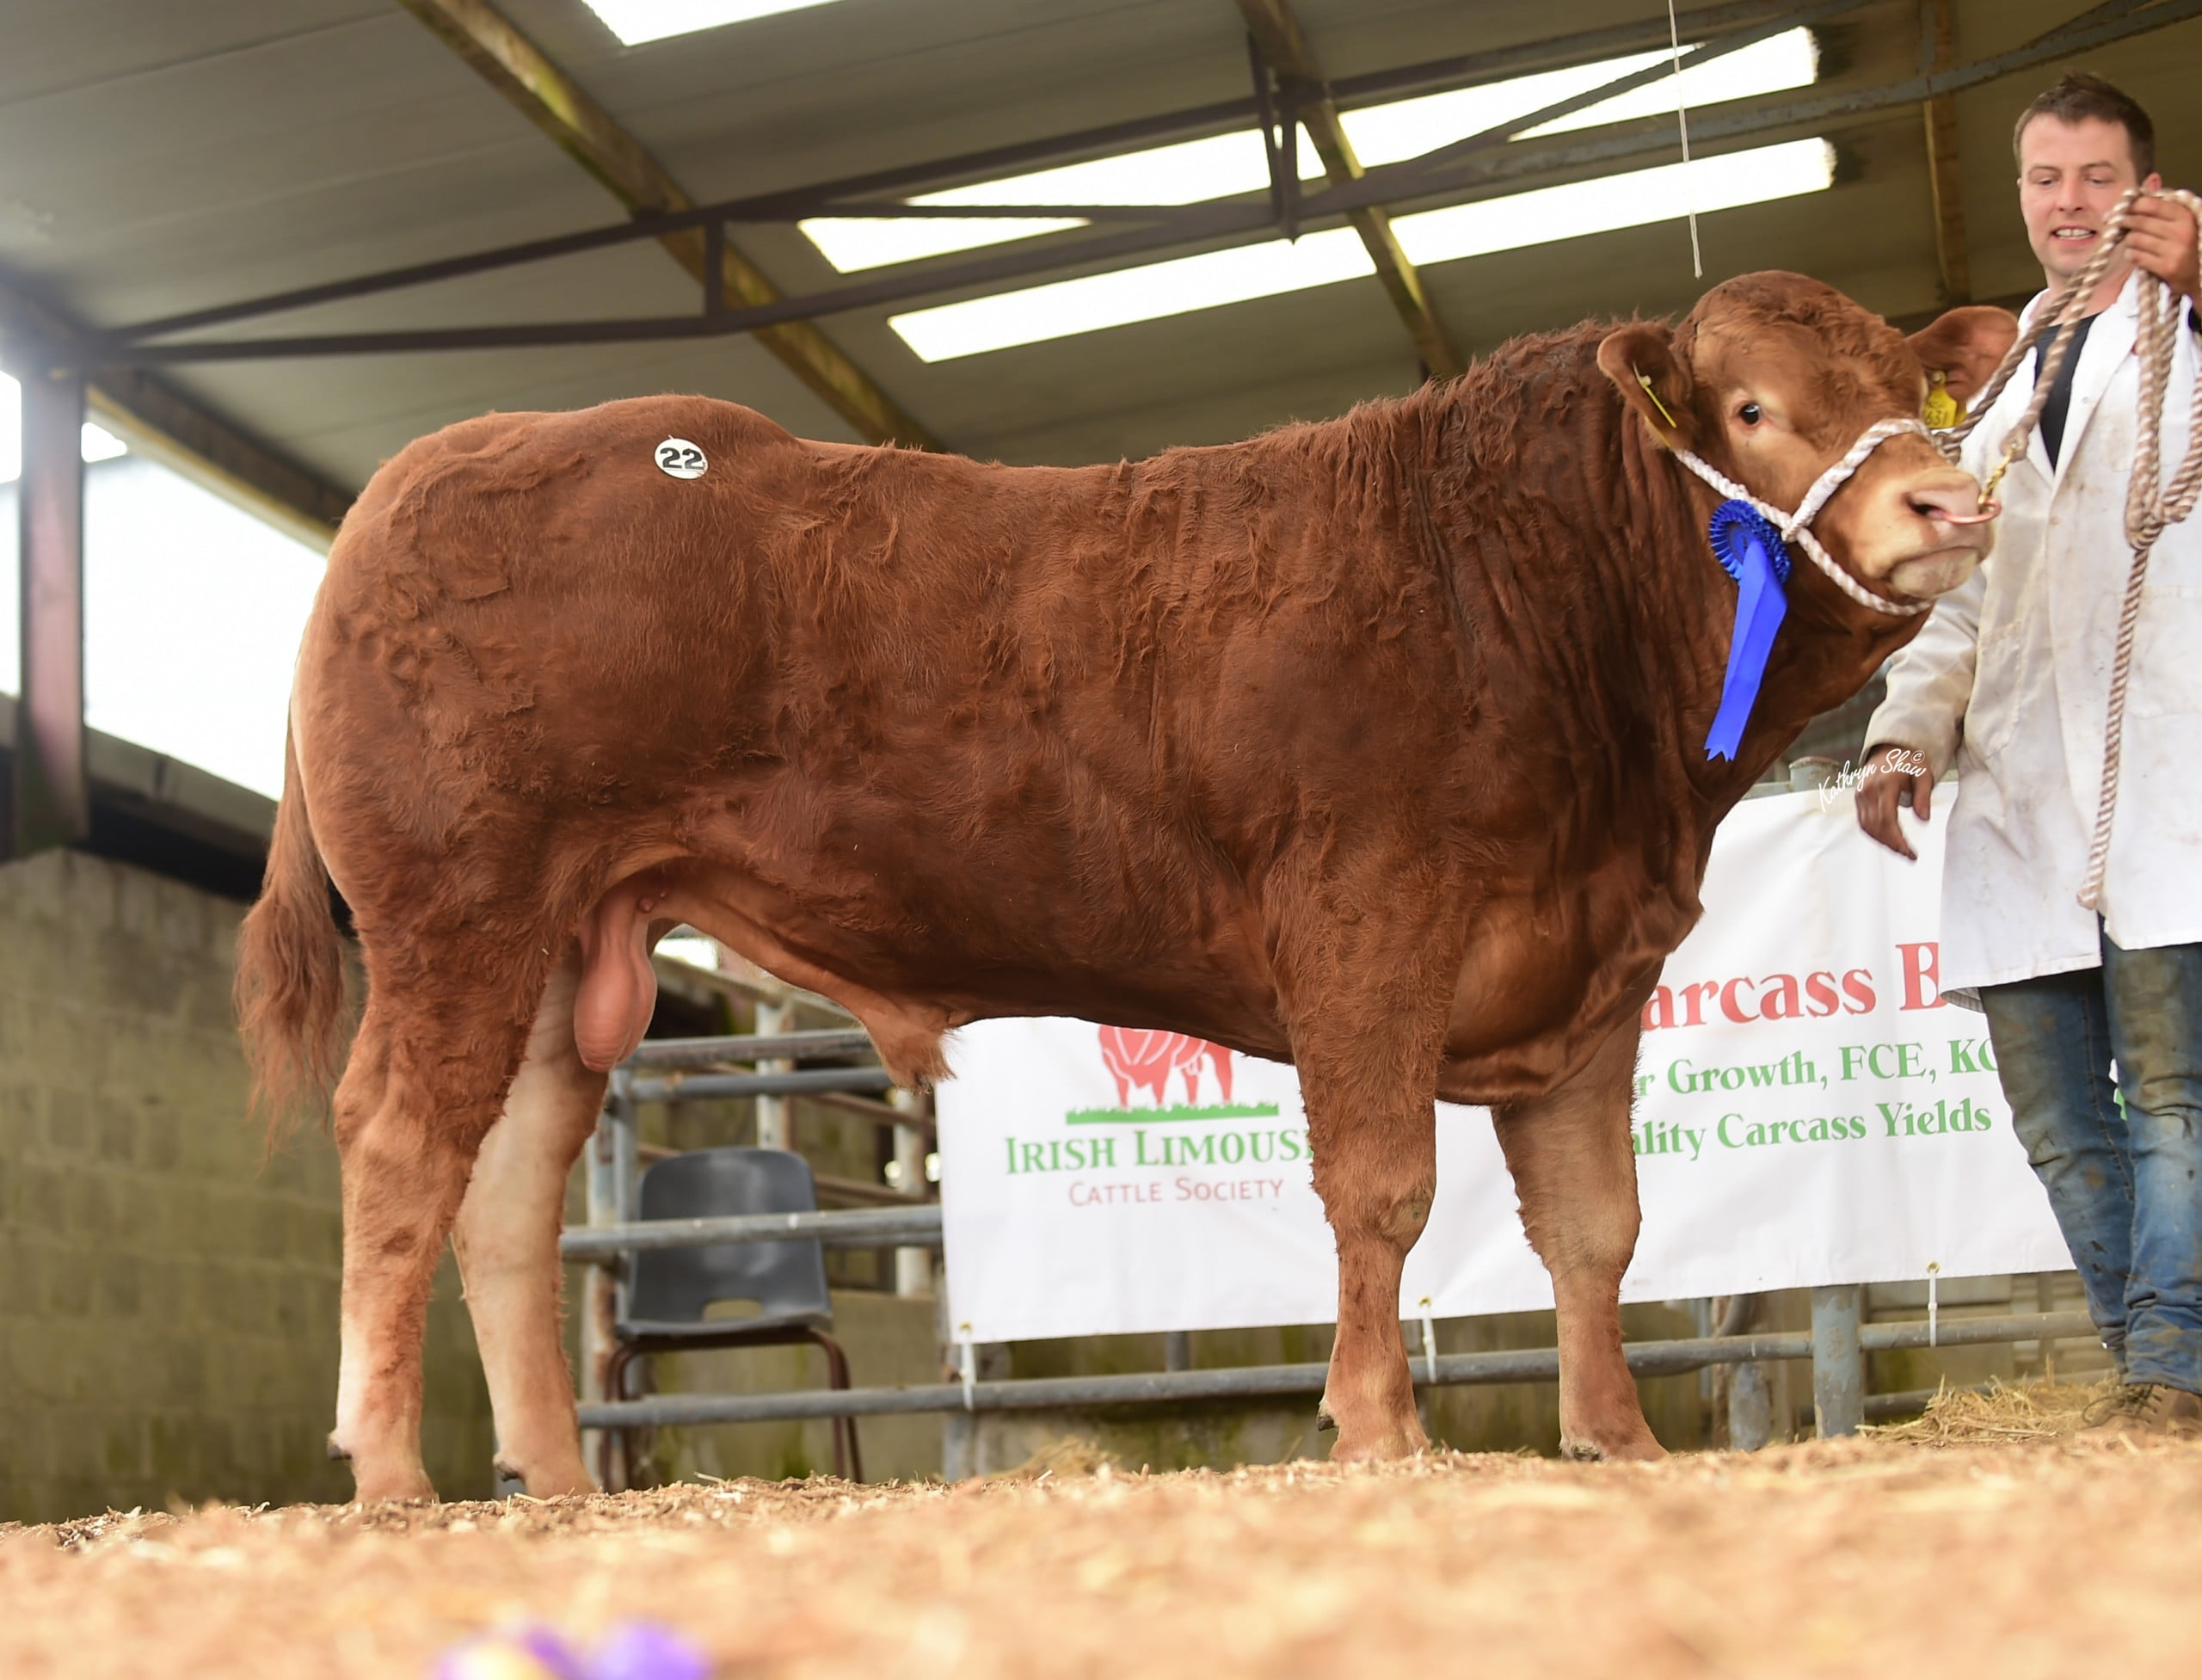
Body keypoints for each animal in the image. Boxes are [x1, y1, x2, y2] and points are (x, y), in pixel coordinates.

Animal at [236, 271, 2015, 1502]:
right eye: (1753, 410)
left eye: (1911, 390)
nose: (1947, 499)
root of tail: (437, 461)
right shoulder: (1370, 923)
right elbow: (1383, 1191)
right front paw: (1379, 1426)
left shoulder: (1594, 972)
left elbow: (1595, 1227)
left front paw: (1619, 1438)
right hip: (459, 907)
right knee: (399, 1151)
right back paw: (389, 1470)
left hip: (563, 945)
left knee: (506, 1190)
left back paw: (549, 1478)